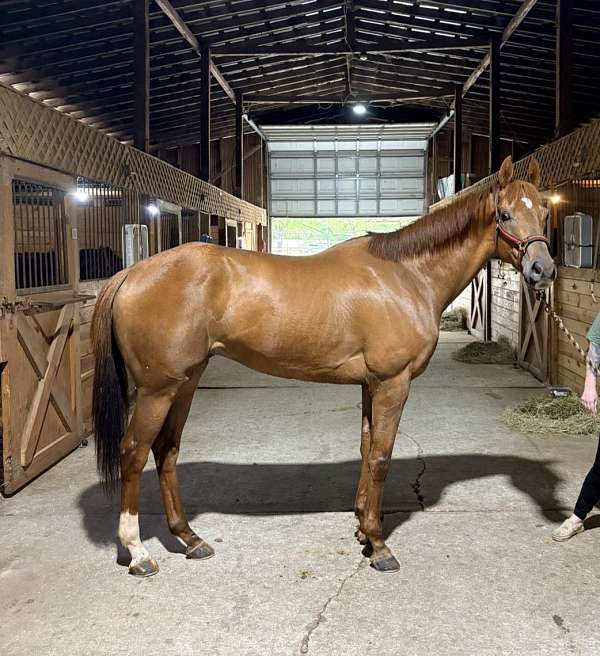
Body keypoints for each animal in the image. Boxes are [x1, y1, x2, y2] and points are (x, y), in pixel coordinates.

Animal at [91, 155, 555, 576]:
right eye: (505, 214)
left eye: (545, 212)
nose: (543, 270)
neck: (406, 276)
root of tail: (132, 273)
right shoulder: (393, 383)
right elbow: (381, 457)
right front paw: (380, 546)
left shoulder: (371, 385)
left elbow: (367, 449)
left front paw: (363, 529)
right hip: (157, 390)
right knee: (133, 453)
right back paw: (139, 554)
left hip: (186, 383)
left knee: (165, 450)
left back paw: (189, 539)